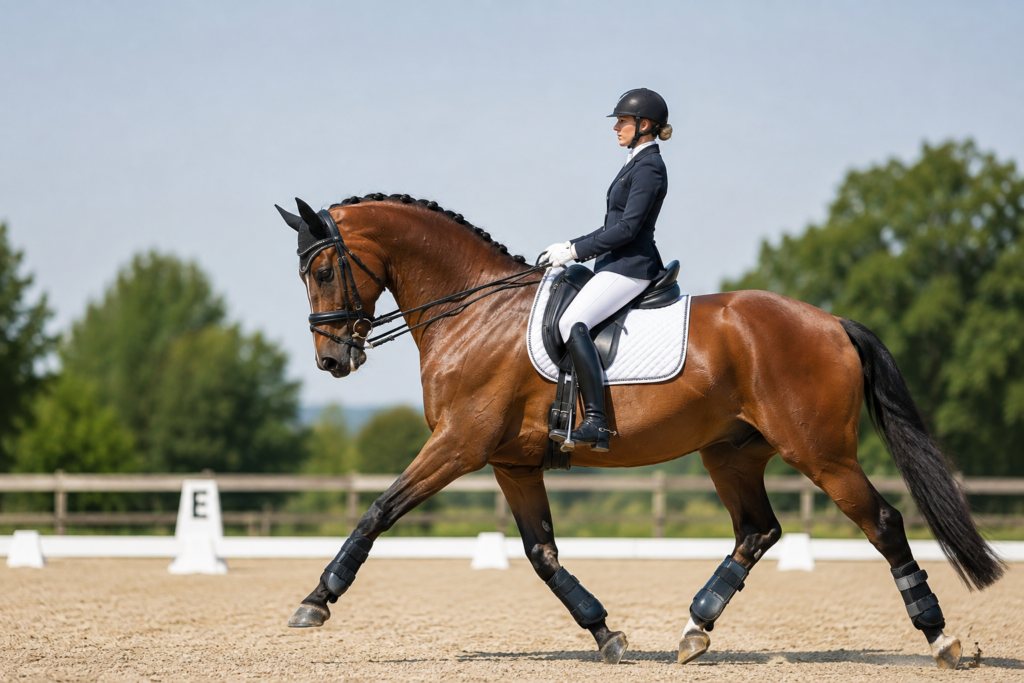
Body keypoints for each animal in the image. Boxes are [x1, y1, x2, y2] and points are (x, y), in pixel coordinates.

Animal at [275, 192, 1004, 669]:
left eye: (322, 270)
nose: (332, 360)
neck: (472, 311)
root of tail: (831, 322)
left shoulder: (459, 443)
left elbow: (378, 511)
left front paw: (315, 601)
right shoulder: (513, 462)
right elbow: (543, 554)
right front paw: (606, 634)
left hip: (820, 452)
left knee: (881, 521)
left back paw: (942, 639)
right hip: (730, 452)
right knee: (756, 530)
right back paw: (694, 631)